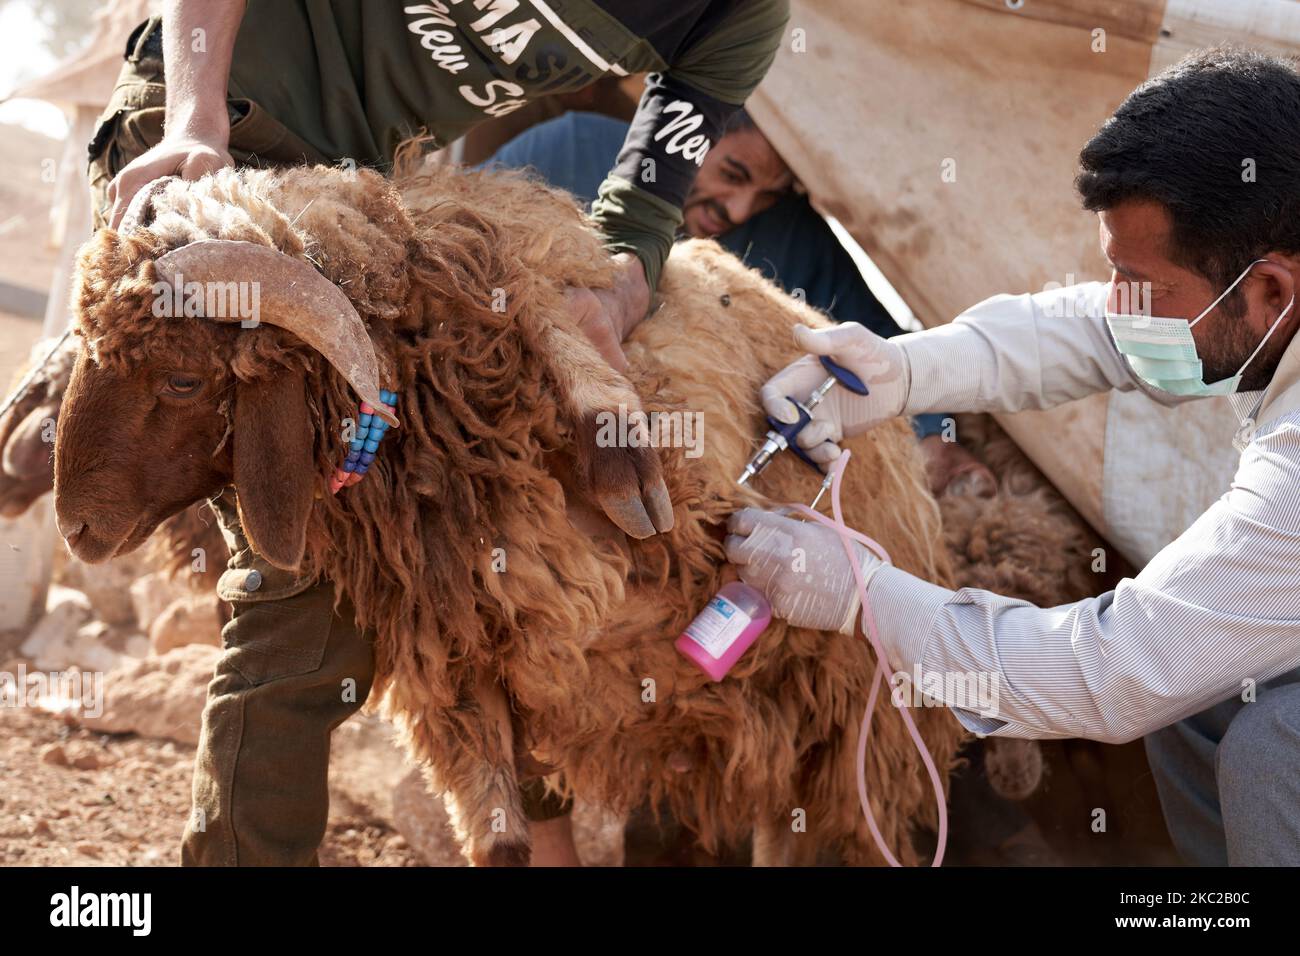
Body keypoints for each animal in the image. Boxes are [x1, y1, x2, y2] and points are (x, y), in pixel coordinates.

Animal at [53, 160, 967, 863]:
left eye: (181, 379)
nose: (75, 530)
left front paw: (616, 446)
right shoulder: (458, 675)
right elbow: (501, 844)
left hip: (845, 713)